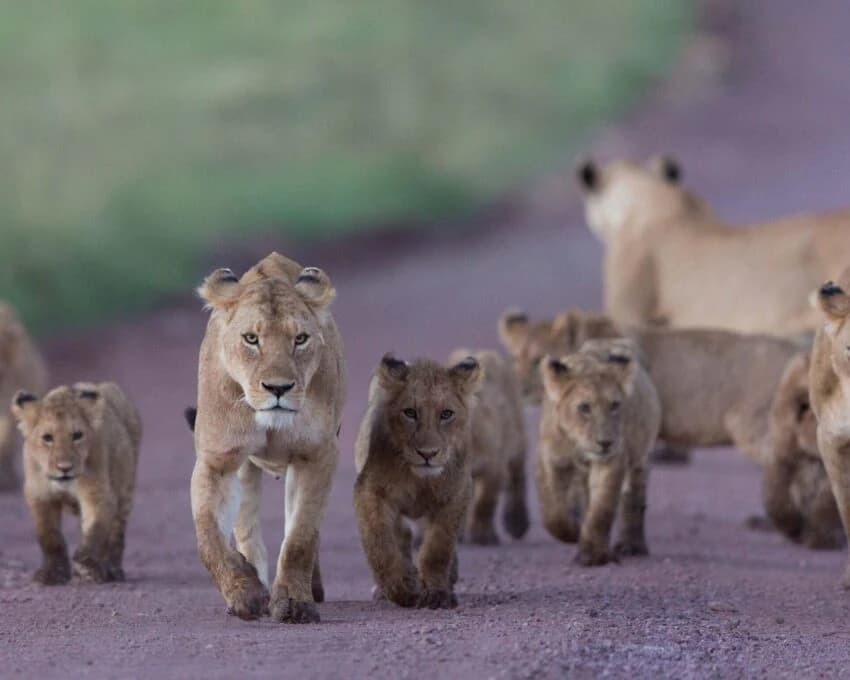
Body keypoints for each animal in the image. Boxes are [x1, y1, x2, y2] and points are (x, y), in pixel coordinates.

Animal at [11, 382, 141, 584]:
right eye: (47, 437)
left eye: (77, 435)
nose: (65, 468)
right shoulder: (39, 495)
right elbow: (49, 537)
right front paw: (52, 573)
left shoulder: (99, 494)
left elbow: (96, 529)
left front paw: (86, 563)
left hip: (126, 490)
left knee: (116, 534)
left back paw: (112, 570)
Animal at [190, 252, 345, 622]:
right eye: (251, 339)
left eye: (300, 339)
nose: (278, 388)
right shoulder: (217, 461)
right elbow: (209, 536)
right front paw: (244, 592)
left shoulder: (316, 455)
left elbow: (300, 537)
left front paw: (293, 603)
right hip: (246, 470)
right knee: (246, 527)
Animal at [353, 354, 481, 609]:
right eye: (410, 413)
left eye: (446, 414)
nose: (427, 454)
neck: (419, 481)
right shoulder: (369, 491)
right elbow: (380, 545)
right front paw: (400, 589)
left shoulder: (457, 493)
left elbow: (437, 548)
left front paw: (437, 593)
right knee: (401, 538)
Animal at [447, 349, 528, 544]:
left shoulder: (493, 465)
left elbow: (485, 502)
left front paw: (484, 536)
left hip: (517, 435)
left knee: (517, 476)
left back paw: (517, 524)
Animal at [537, 339, 660, 565]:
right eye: (584, 407)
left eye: (615, 405)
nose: (605, 443)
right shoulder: (551, 459)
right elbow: (553, 512)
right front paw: (573, 531)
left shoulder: (612, 461)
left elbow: (601, 509)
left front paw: (592, 554)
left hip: (641, 458)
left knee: (633, 499)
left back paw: (632, 546)